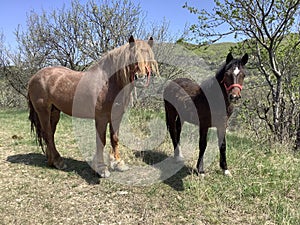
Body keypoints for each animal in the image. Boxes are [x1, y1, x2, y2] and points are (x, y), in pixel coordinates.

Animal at [27, 36, 158, 178]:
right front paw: (101, 169)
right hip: (43, 112)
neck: (108, 83)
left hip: (54, 112)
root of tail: (33, 77)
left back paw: (52, 160)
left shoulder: (116, 117)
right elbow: (101, 141)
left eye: (149, 56)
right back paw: (58, 162)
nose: (140, 78)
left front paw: (118, 163)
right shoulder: (101, 118)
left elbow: (115, 139)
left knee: (50, 134)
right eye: (132, 56)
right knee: (48, 134)